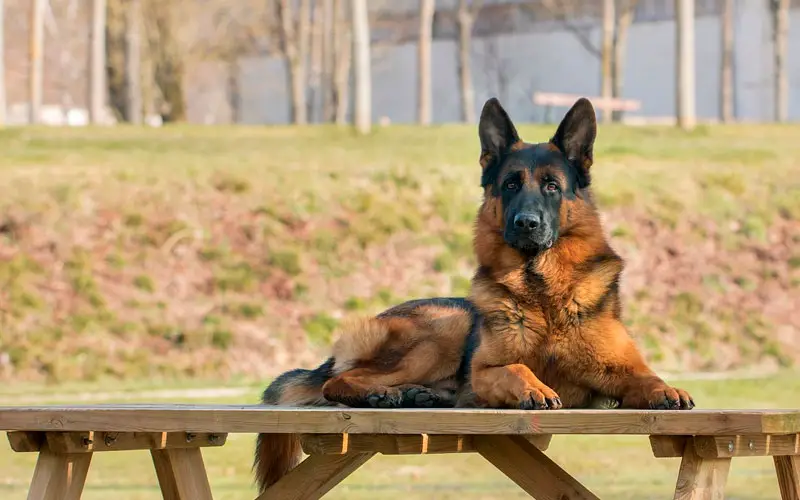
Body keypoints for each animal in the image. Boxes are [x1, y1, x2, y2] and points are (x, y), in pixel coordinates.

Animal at [252, 95, 692, 490]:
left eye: (552, 186)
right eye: (510, 184)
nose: (526, 223)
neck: (542, 292)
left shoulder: (621, 370)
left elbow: (647, 377)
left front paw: (667, 389)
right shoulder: (484, 372)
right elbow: (516, 368)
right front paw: (534, 387)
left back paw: (417, 396)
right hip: (444, 331)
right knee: (337, 381)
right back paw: (380, 394)